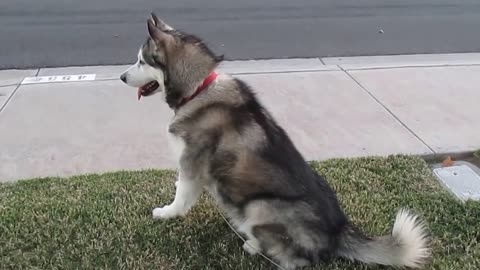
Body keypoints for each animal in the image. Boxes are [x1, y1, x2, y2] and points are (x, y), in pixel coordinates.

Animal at [120, 13, 432, 270]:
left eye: (141, 61)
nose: (122, 76)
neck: (199, 89)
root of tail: (338, 231)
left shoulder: (192, 164)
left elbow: (181, 197)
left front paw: (166, 213)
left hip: (259, 207)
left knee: (296, 259)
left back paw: (254, 246)